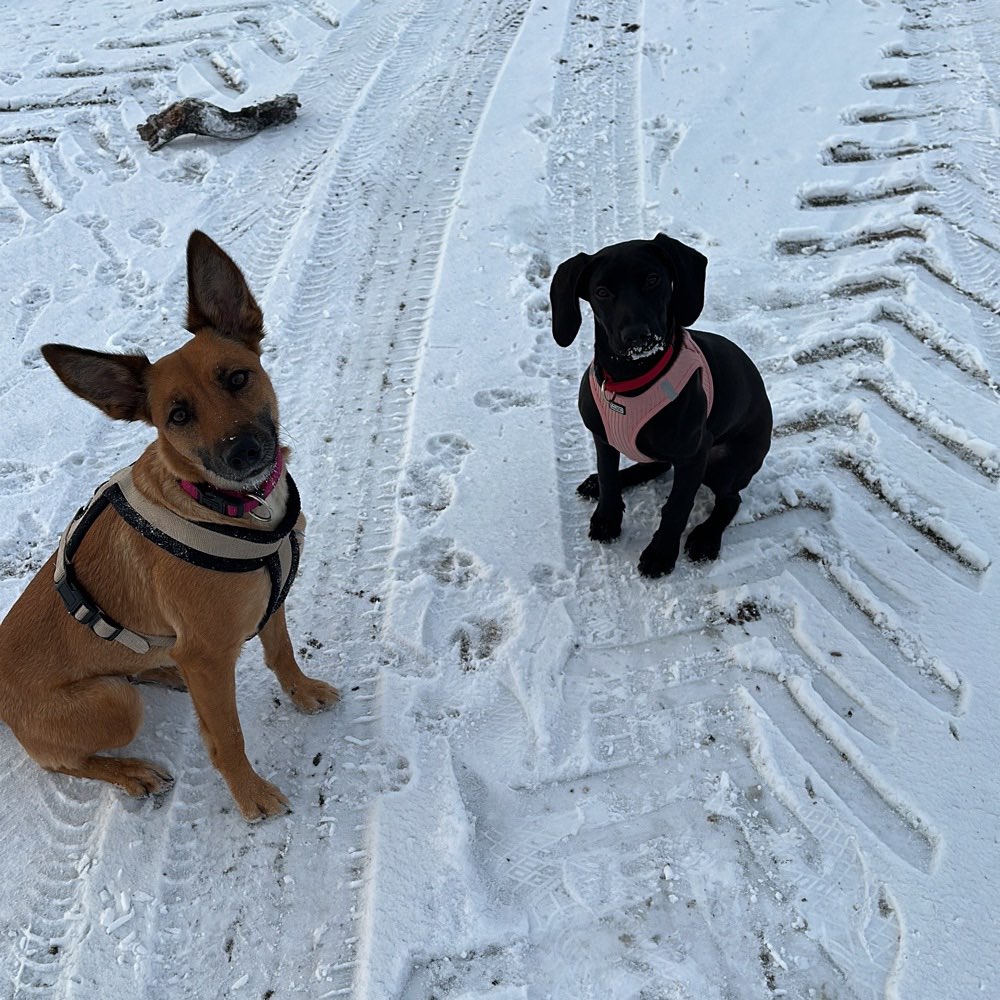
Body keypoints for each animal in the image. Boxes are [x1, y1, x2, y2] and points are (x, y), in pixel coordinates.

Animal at [0, 229, 340, 820]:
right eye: (177, 417)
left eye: (237, 377)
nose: (243, 453)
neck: (226, 507)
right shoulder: (208, 657)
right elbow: (226, 736)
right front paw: (250, 795)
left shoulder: (269, 603)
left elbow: (281, 651)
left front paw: (301, 692)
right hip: (114, 702)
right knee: (64, 762)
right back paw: (131, 772)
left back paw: (160, 668)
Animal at [552, 234, 768, 580]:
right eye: (601, 292)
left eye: (653, 279)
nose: (638, 336)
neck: (631, 380)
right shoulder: (603, 438)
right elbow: (609, 478)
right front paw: (607, 517)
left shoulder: (695, 452)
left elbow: (677, 506)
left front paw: (661, 553)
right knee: (656, 465)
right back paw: (598, 483)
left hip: (725, 463)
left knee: (730, 500)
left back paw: (706, 538)